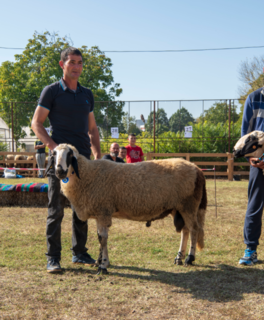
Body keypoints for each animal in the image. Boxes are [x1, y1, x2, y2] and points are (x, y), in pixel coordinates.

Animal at [51, 144, 207, 274]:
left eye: (70, 155)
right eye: (54, 155)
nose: (59, 171)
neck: (88, 175)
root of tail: (197, 169)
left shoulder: (103, 211)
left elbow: (103, 238)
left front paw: (103, 266)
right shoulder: (100, 212)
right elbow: (100, 237)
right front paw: (101, 262)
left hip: (189, 204)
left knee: (194, 229)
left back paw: (189, 258)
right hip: (179, 207)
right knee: (185, 230)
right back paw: (179, 258)